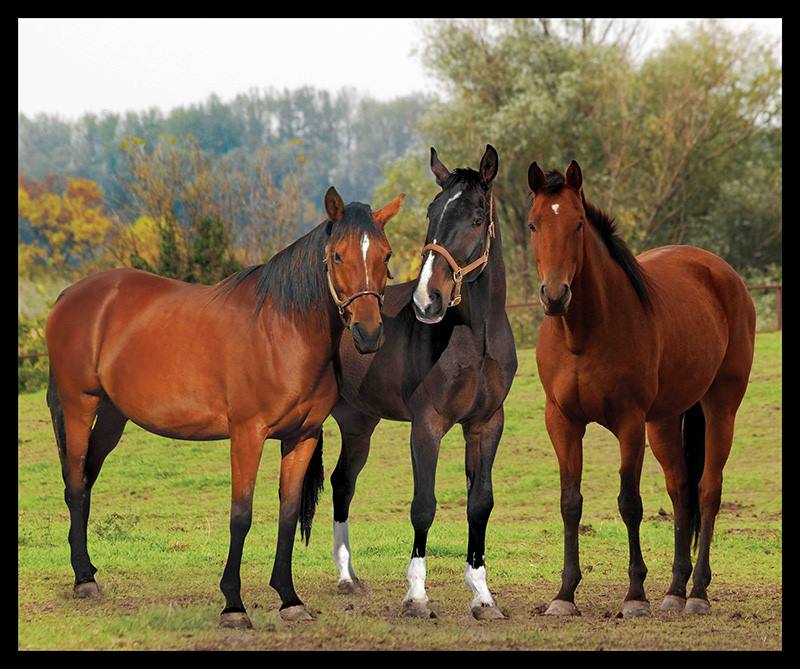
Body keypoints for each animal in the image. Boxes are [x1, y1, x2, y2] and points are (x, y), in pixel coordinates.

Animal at [44, 186, 404, 628]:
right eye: (338, 255)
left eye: (385, 255)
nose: (368, 334)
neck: (283, 331)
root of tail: (70, 296)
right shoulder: (247, 434)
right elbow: (241, 515)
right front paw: (233, 605)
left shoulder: (301, 437)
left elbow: (287, 514)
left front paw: (289, 599)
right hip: (79, 407)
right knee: (76, 484)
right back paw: (83, 580)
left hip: (113, 416)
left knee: (86, 480)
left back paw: (89, 571)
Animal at [329, 145, 518, 620]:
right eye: (433, 211)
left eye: (476, 217)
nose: (426, 300)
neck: (473, 337)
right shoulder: (427, 424)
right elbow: (424, 506)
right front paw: (416, 595)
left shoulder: (487, 424)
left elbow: (480, 504)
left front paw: (482, 595)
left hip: (359, 424)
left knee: (342, 483)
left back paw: (348, 577)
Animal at [526, 160, 756, 617]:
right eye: (533, 224)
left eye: (578, 224)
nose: (555, 295)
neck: (584, 333)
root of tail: (723, 274)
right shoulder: (562, 421)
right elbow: (570, 502)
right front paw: (564, 594)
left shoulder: (629, 423)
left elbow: (629, 503)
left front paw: (634, 595)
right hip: (665, 421)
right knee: (681, 492)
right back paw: (675, 590)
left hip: (721, 407)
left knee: (708, 491)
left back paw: (697, 593)